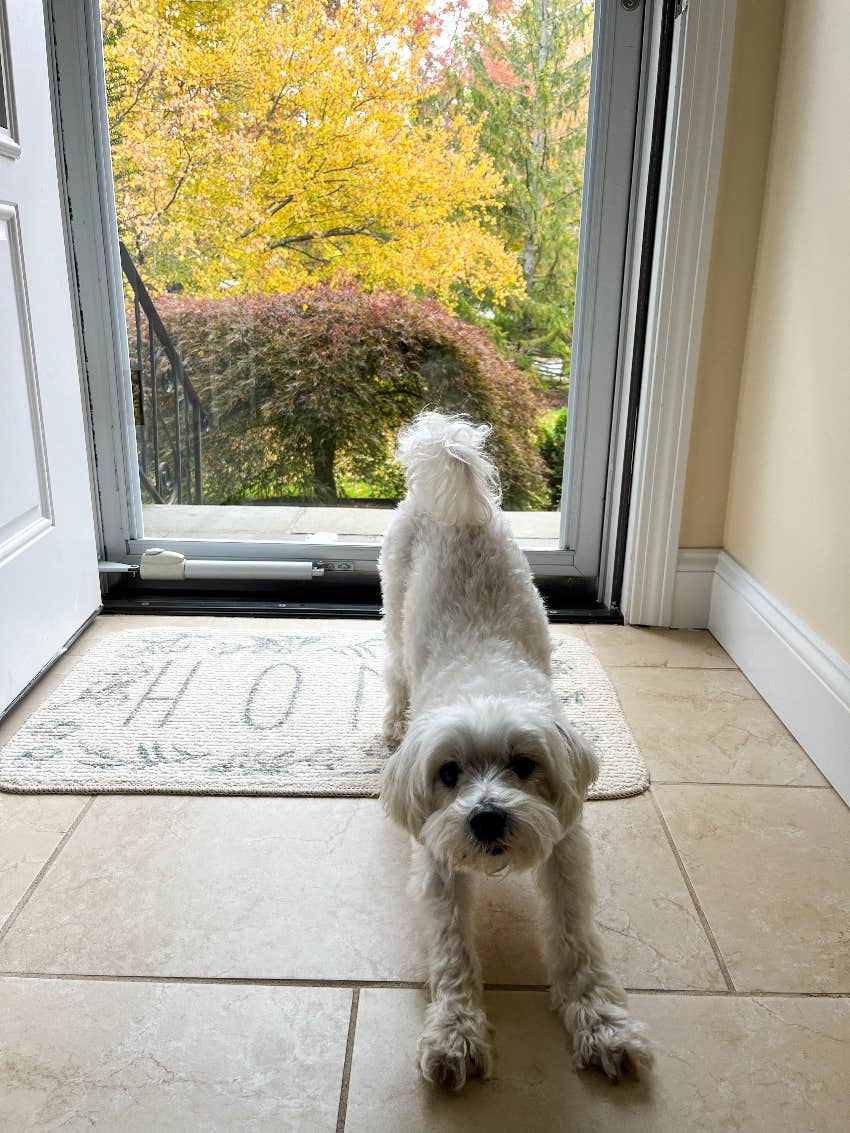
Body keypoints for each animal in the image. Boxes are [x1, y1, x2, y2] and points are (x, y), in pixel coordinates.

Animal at [378, 414, 652, 1087]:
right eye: (448, 773)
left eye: (524, 765)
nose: (486, 818)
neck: (484, 683)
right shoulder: (438, 863)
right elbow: (452, 951)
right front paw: (455, 1033)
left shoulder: (566, 849)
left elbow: (576, 938)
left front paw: (601, 1022)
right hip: (393, 607)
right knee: (393, 669)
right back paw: (392, 722)